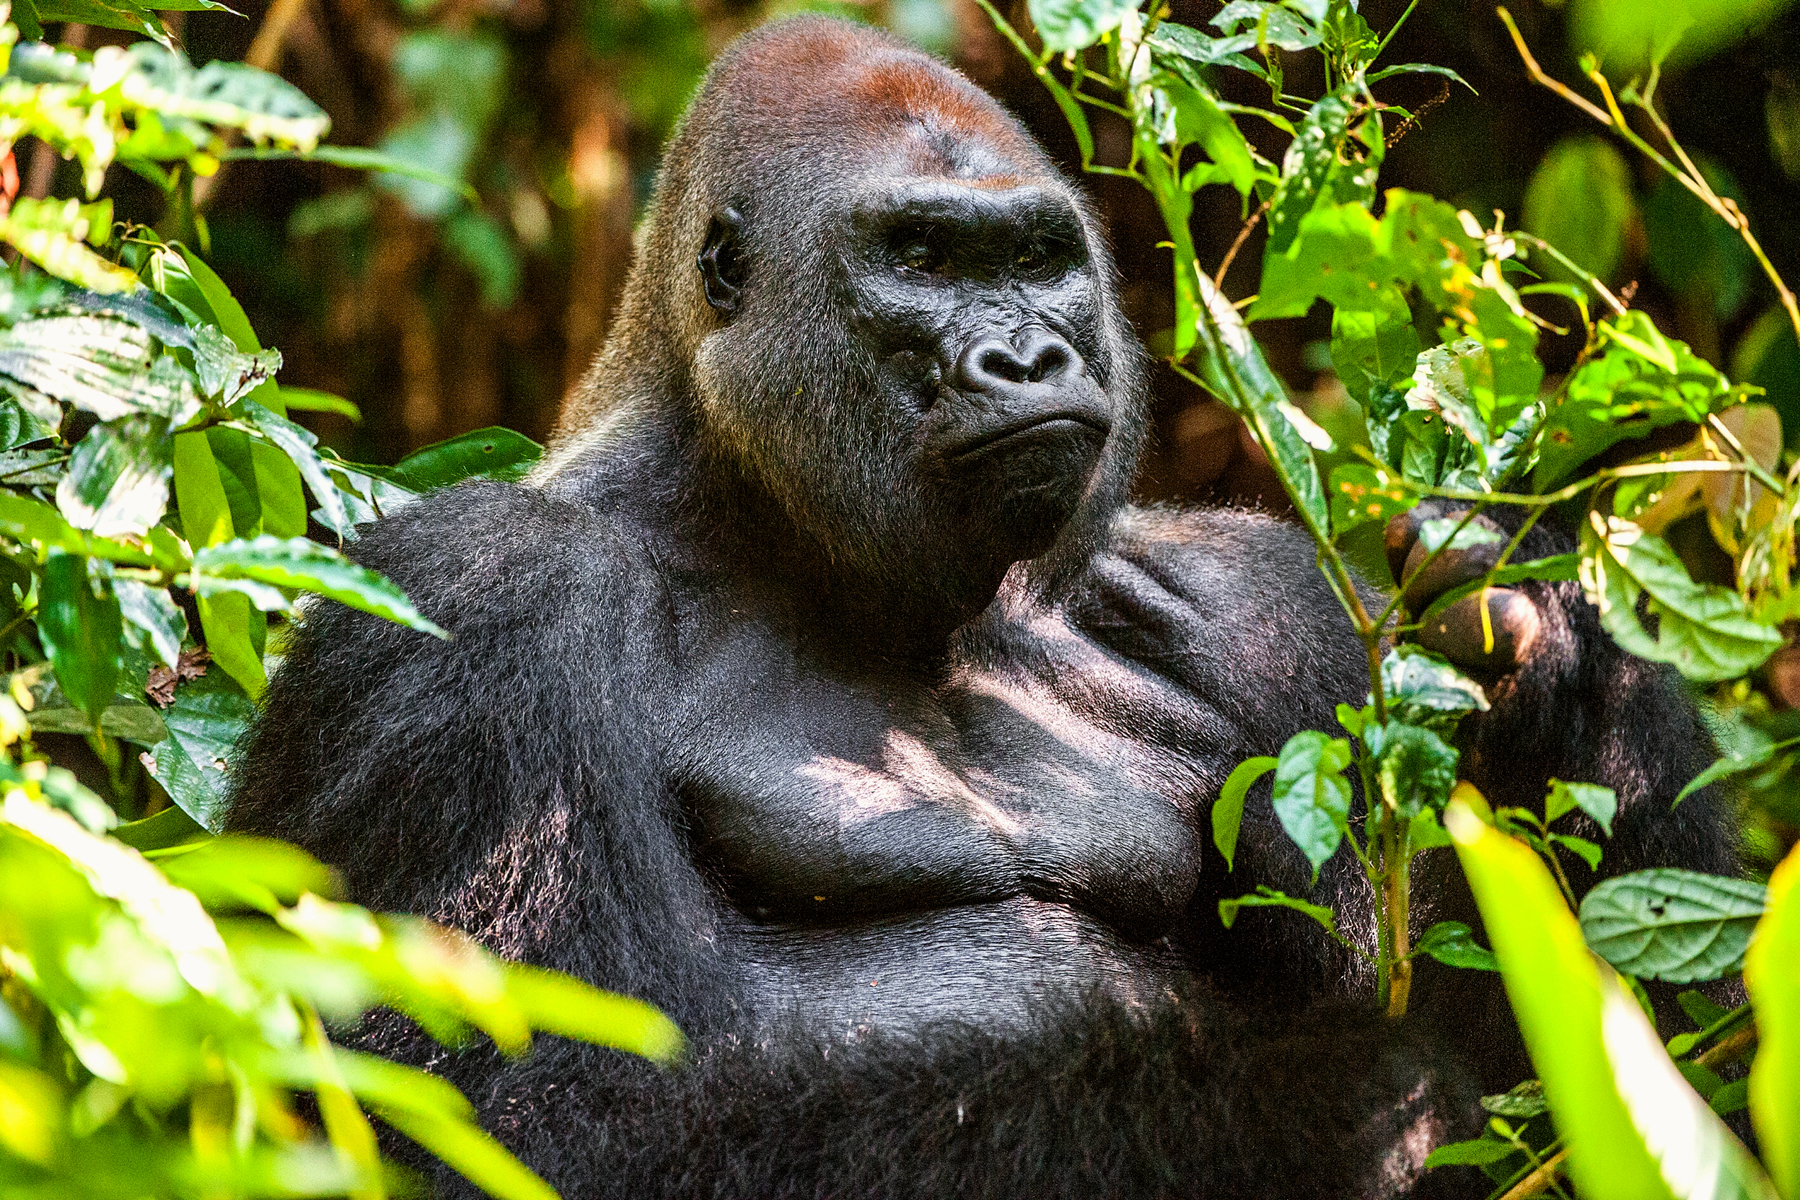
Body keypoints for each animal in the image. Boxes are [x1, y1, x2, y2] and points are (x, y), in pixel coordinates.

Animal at [226, 17, 1735, 1198]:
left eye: (1036, 259)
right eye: (921, 257)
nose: (1027, 357)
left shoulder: (1275, 616)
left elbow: (1668, 1055)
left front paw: (1553, 661)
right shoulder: (476, 600)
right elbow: (529, 1120)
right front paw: (1351, 1103)